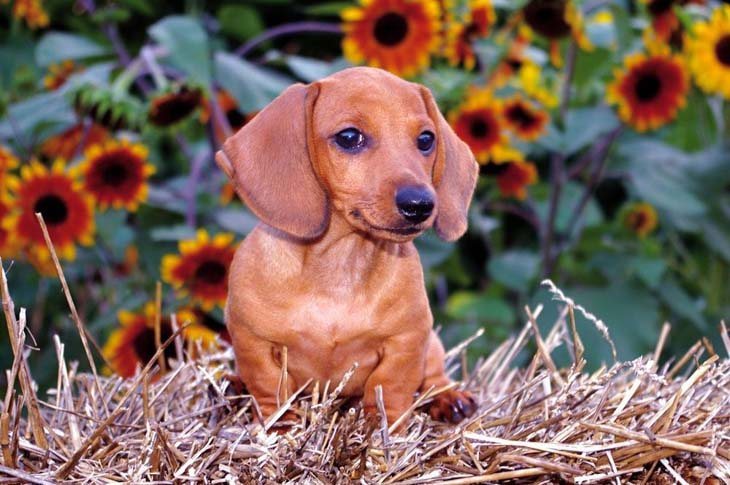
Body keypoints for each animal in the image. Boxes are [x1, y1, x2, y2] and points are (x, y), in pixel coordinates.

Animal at [215, 66, 478, 426]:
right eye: (350, 137)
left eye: (426, 139)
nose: (420, 204)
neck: (341, 264)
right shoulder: (251, 340)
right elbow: (270, 387)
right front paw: (280, 425)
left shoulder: (408, 339)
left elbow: (390, 386)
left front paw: (383, 428)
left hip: (434, 346)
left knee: (434, 377)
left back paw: (448, 398)